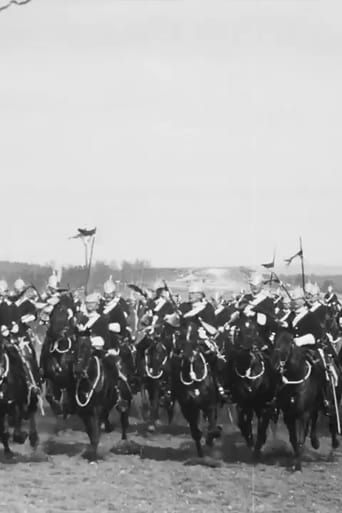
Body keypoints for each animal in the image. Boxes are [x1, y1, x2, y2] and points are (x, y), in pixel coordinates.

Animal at [172, 320, 220, 456]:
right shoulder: (188, 408)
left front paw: (211, 439)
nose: (188, 357)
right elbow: (195, 432)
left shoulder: (209, 405)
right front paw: (201, 452)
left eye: (195, 338)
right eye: (181, 337)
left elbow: (212, 428)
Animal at [227, 314, 278, 458]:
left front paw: (258, 447)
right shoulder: (242, 403)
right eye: (239, 329)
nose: (250, 346)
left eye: (254, 329)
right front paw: (249, 440)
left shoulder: (265, 404)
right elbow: (242, 422)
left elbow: (261, 426)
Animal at [272, 330, 340, 470]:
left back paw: (334, 443)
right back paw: (315, 442)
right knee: (314, 420)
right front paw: (297, 457)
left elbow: (300, 439)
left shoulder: (303, 415)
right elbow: (294, 439)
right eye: (275, 342)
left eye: (289, 344)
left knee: (332, 419)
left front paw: (298, 464)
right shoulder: (289, 415)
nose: (275, 366)